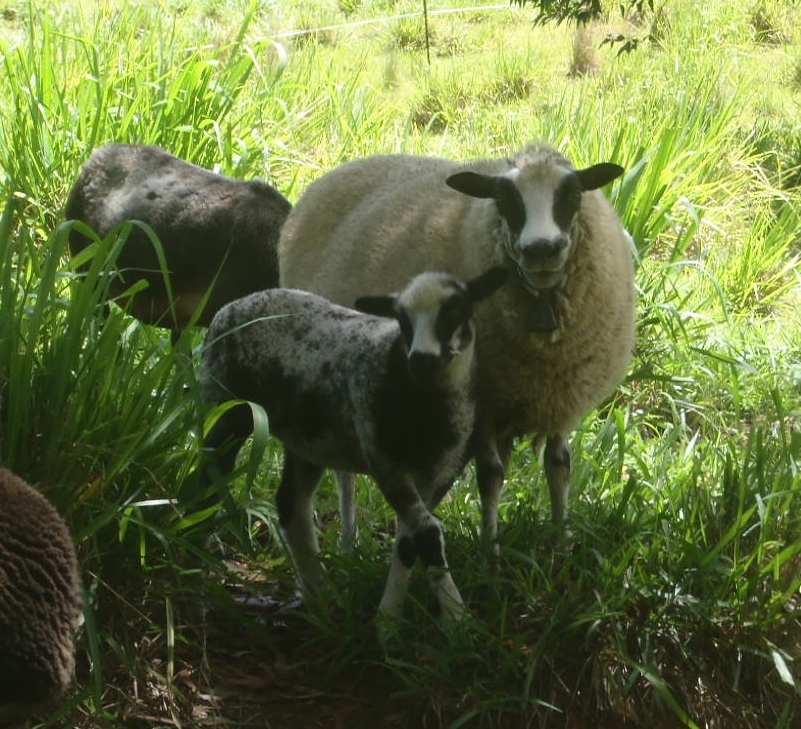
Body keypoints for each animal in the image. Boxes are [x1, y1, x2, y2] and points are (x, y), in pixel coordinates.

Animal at [278, 142, 636, 544]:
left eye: (573, 194)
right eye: (503, 198)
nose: (542, 249)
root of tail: (337, 173)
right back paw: (348, 541)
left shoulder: (562, 399)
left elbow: (559, 467)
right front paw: (489, 549)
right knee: (343, 469)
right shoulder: (484, 405)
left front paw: (561, 539)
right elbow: (491, 477)